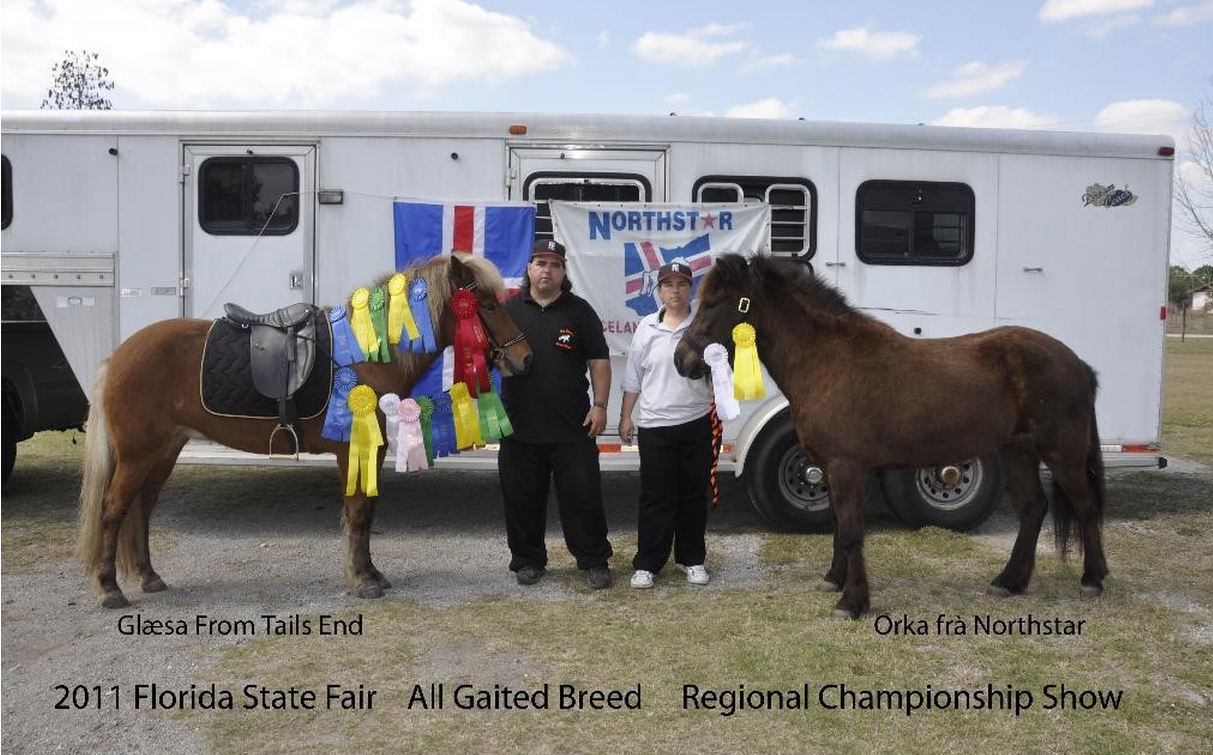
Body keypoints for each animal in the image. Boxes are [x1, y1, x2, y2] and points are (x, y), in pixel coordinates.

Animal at [77, 254, 531, 609]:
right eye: (486, 304)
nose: (524, 359)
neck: (366, 355)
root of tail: (118, 356)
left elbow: (365, 510)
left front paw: (370, 573)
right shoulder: (353, 450)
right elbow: (358, 512)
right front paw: (362, 580)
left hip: (163, 453)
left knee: (142, 509)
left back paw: (148, 576)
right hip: (138, 455)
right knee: (113, 510)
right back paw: (109, 589)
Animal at [674, 256, 1111, 621]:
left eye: (713, 303)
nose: (682, 360)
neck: (826, 360)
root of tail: (1077, 363)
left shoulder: (846, 467)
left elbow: (852, 531)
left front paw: (852, 602)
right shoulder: (829, 468)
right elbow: (838, 526)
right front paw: (834, 579)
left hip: (1063, 454)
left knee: (1086, 507)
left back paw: (1092, 579)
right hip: (1018, 450)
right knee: (1032, 509)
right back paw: (1010, 581)